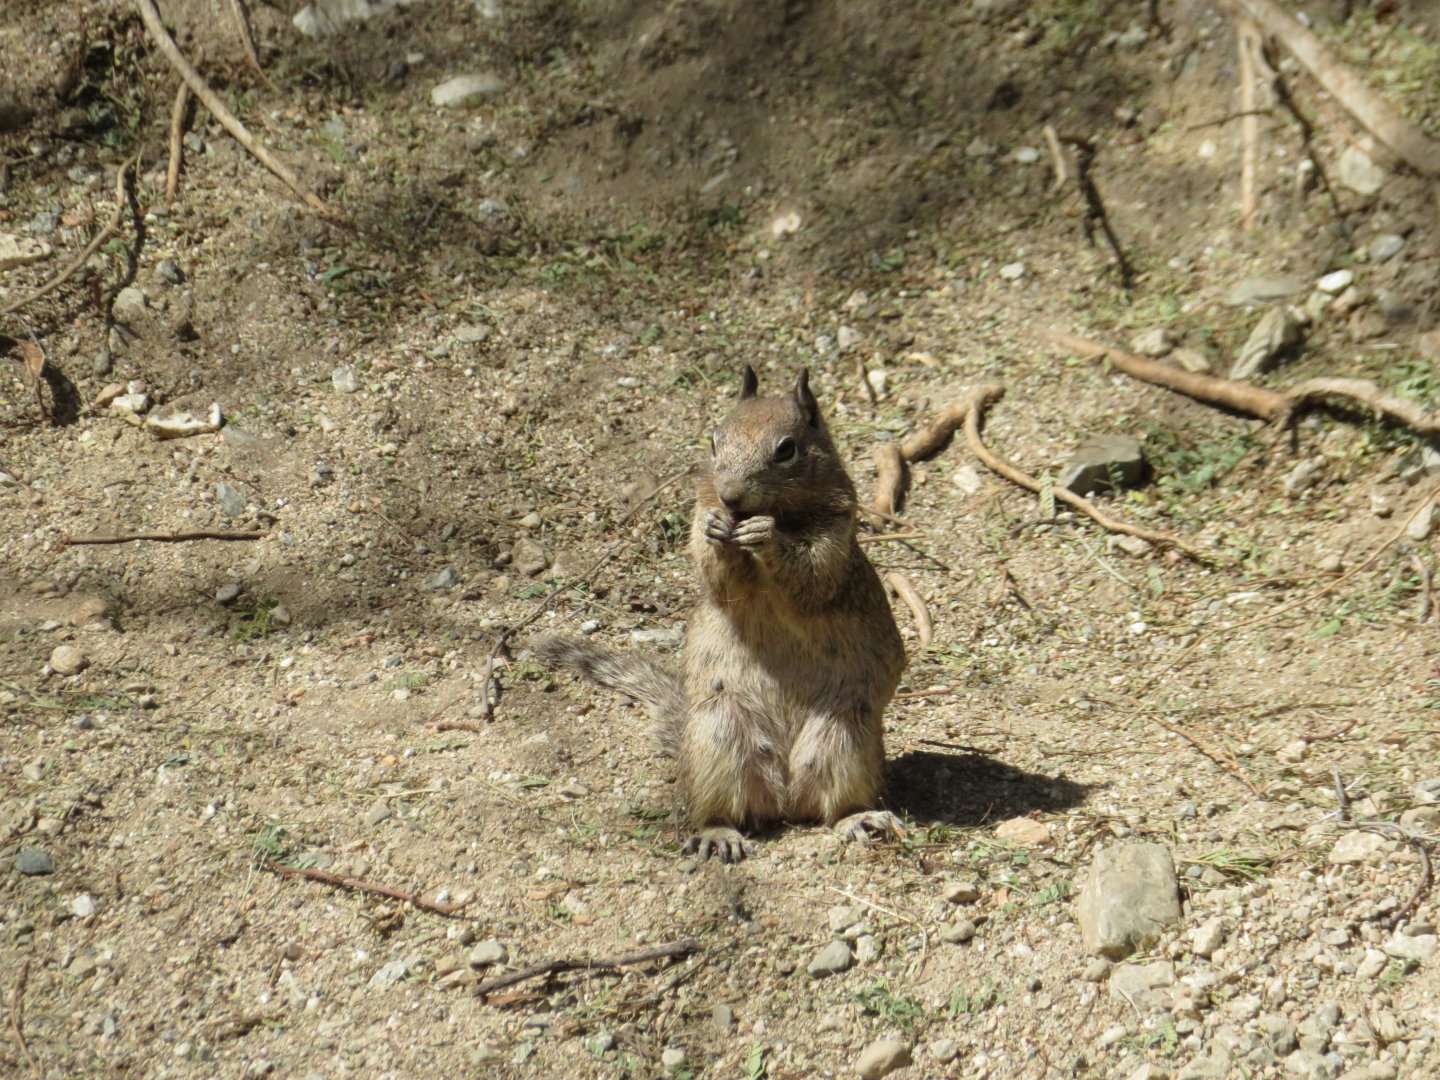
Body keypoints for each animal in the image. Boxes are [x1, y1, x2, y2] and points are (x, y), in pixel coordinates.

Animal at [534, 365, 906, 862]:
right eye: (713, 441)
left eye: (786, 449)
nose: (730, 497)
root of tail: (785, 798)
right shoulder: (704, 531)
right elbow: (717, 576)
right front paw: (718, 530)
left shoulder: (836, 536)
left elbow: (811, 575)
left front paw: (767, 536)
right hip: (720, 735)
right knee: (720, 811)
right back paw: (719, 834)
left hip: (848, 734)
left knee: (834, 807)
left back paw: (859, 818)